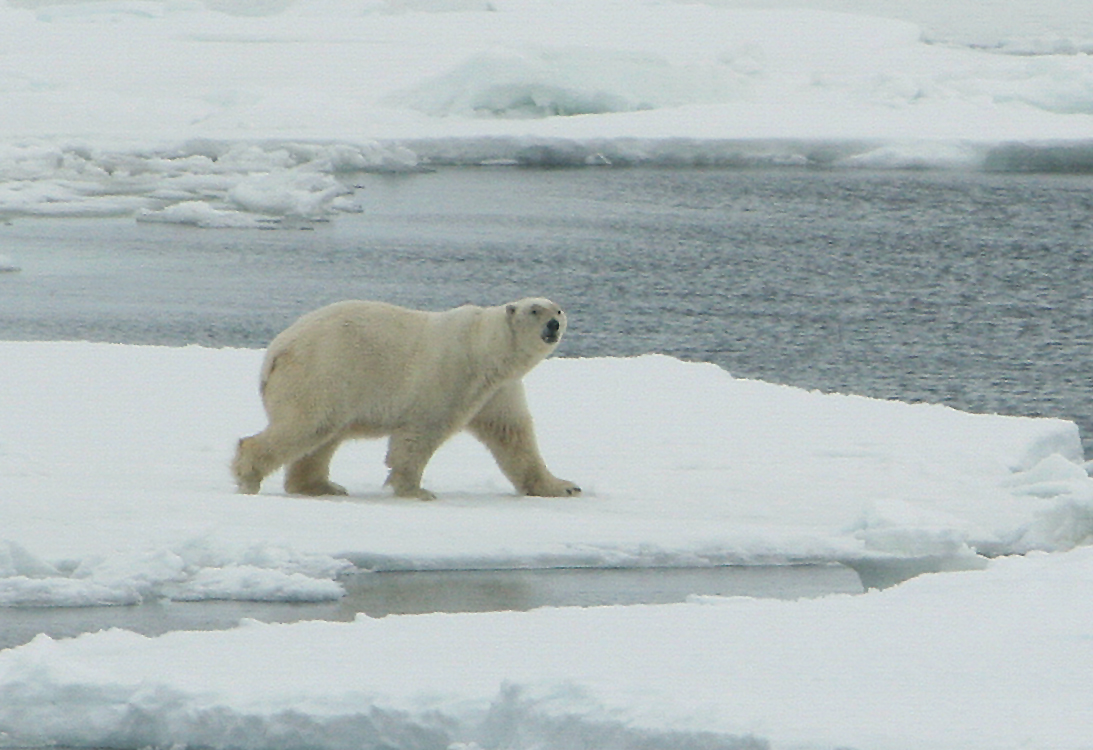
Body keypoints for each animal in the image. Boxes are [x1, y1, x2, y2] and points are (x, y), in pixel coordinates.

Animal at [230, 297, 581, 502]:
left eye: (558, 309)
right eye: (534, 310)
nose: (553, 325)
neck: (483, 349)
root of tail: (276, 351)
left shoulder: (499, 390)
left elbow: (514, 435)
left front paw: (563, 486)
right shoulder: (449, 374)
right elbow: (420, 435)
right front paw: (417, 490)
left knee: (323, 437)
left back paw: (320, 486)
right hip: (322, 373)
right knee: (306, 425)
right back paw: (248, 476)